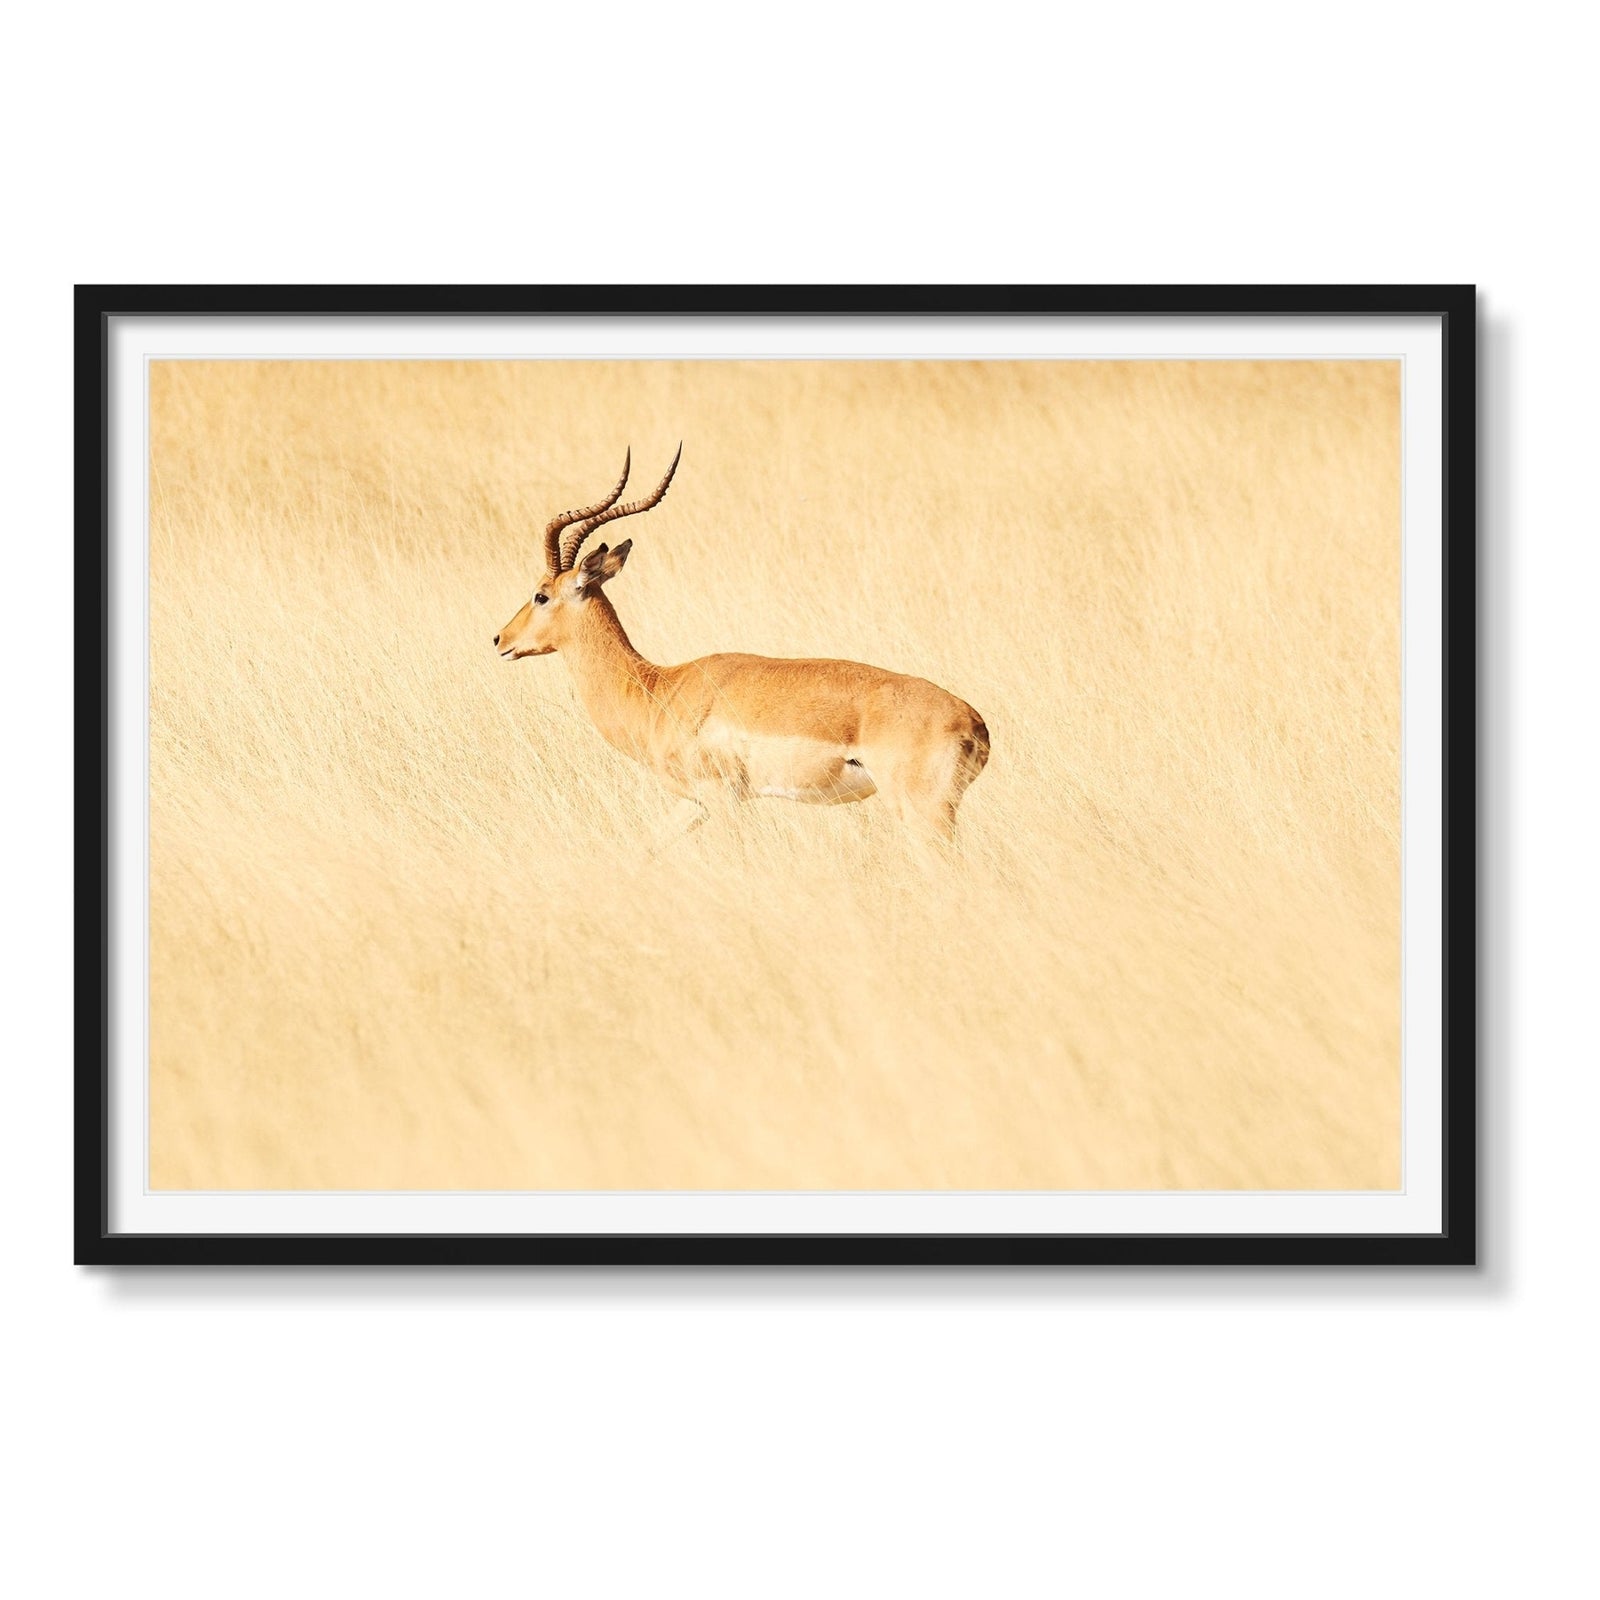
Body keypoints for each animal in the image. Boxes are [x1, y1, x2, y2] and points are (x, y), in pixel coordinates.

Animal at [493, 449, 990, 844]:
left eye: (541, 594)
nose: (500, 640)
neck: (658, 690)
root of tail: (975, 723)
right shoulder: (693, 803)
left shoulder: (723, 799)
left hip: (923, 816)